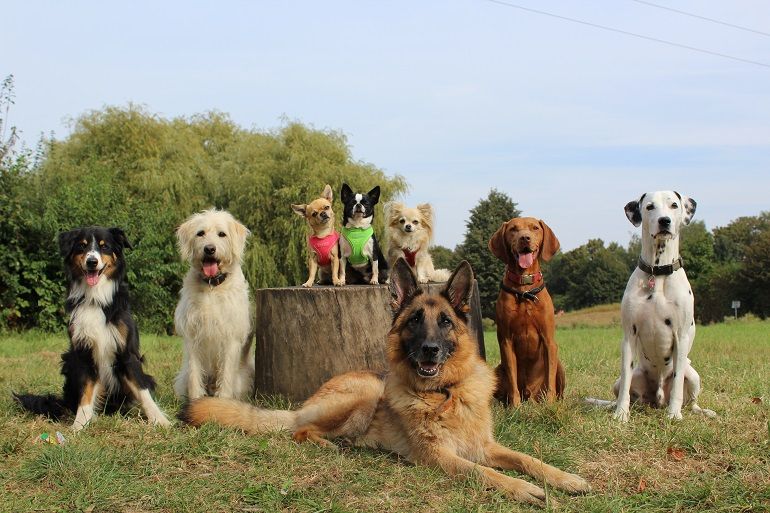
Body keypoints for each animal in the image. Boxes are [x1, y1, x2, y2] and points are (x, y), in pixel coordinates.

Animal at [13, 226, 170, 430]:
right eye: (82, 246)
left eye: (104, 247)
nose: (92, 262)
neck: (95, 297)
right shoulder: (83, 351)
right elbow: (86, 391)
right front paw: (80, 423)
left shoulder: (126, 352)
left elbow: (142, 389)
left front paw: (159, 419)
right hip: (69, 363)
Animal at [172, 208, 254, 400]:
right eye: (200, 233)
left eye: (222, 234)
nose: (209, 249)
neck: (212, 287)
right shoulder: (192, 335)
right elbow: (195, 374)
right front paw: (195, 401)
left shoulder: (231, 337)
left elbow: (226, 374)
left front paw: (222, 401)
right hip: (182, 378)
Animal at [180, 258, 588, 506]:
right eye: (414, 321)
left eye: (445, 323)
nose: (429, 351)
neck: (445, 394)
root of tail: (305, 404)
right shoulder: (440, 455)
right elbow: (484, 472)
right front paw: (524, 490)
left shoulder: (484, 446)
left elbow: (527, 458)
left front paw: (565, 479)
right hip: (364, 393)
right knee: (300, 431)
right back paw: (333, 445)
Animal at [486, 216, 564, 404]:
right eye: (513, 229)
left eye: (535, 228)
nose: (525, 238)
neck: (524, 288)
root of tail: (529, 394)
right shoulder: (506, 341)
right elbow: (512, 379)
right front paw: (515, 406)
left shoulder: (549, 340)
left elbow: (550, 379)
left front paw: (549, 404)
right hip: (497, 370)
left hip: (560, 365)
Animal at [588, 191, 712, 420]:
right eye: (649, 207)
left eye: (674, 205)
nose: (665, 221)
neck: (658, 271)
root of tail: (657, 399)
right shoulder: (629, 336)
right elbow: (625, 381)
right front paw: (621, 414)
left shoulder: (681, 337)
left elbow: (678, 384)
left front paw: (674, 414)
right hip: (623, 382)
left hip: (693, 375)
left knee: (691, 401)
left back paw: (701, 411)